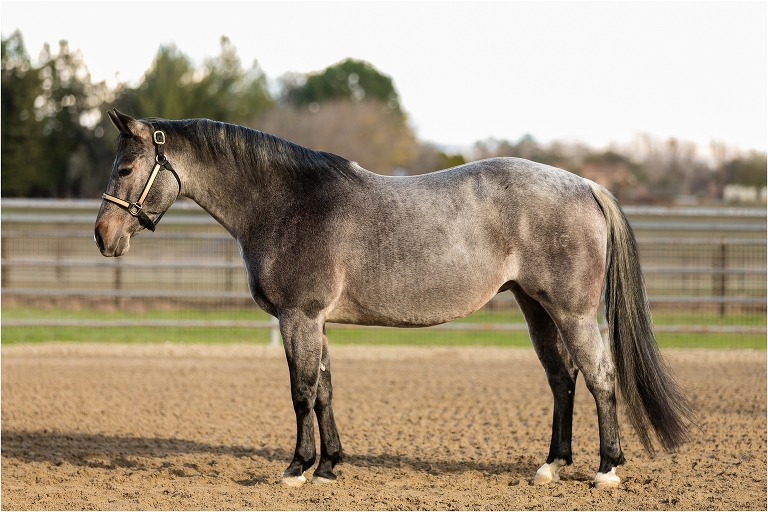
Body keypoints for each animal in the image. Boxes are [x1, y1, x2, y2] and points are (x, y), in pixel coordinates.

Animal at [94, 109, 692, 489]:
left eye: (125, 168)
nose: (104, 236)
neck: (289, 203)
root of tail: (586, 185)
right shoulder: (316, 321)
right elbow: (325, 391)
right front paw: (329, 467)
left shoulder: (298, 317)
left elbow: (301, 392)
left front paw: (296, 469)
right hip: (536, 307)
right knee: (562, 380)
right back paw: (550, 466)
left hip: (572, 311)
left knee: (600, 378)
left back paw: (607, 470)